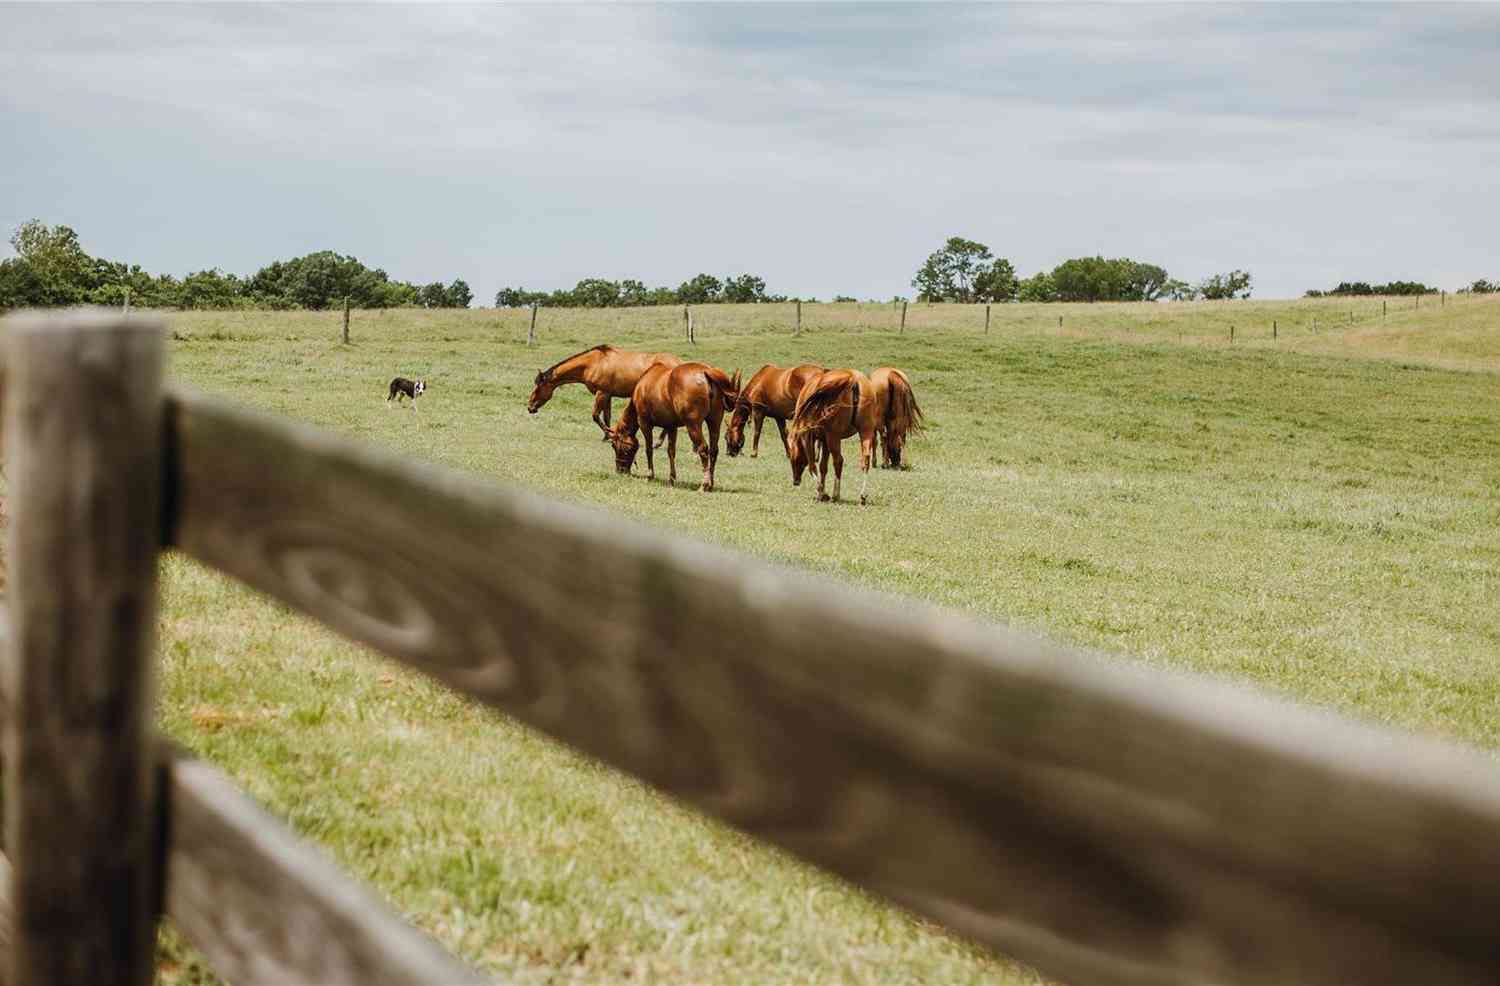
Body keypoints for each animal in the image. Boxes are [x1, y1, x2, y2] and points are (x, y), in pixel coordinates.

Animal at [528, 346, 687, 438]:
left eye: (538, 388)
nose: (530, 408)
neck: (592, 363)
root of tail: (679, 363)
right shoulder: (608, 395)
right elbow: (606, 417)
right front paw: (607, 436)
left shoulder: (602, 393)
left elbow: (595, 416)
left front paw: (609, 434)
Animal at [606, 360, 741, 489]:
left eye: (614, 445)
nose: (620, 470)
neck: (642, 387)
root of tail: (706, 371)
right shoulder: (671, 427)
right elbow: (671, 451)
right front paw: (671, 479)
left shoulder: (644, 423)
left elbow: (649, 449)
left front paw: (650, 475)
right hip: (714, 422)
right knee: (713, 450)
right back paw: (711, 483)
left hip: (693, 425)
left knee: (703, 449)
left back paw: (704, 485)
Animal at [780, 369, 882, 507]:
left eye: (791, 455)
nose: (795, 481)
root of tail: (852, 378)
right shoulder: (824, 440)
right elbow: (823, 466)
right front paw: (822, 490)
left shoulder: (808, 437)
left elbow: (812, 466)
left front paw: (821, 493)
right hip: (865, 431)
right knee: (865, 459)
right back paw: (862, 496)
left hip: (834, 437)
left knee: (838, 461)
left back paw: (835, 495)